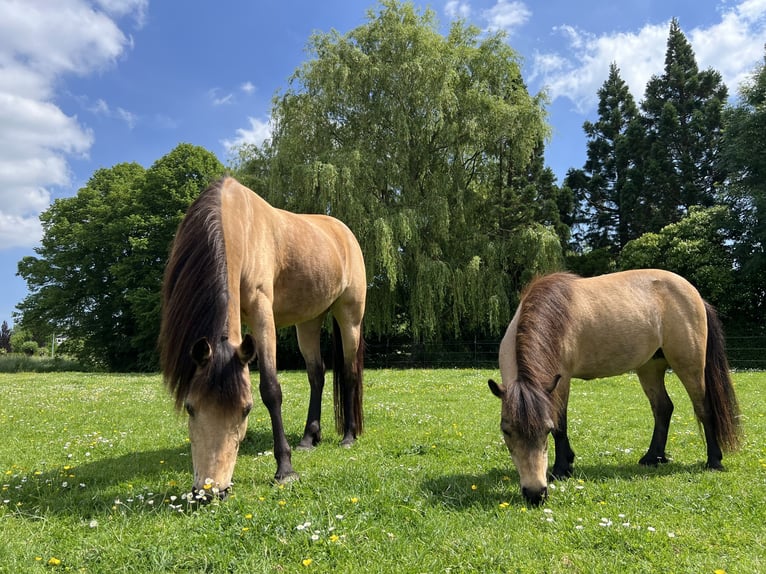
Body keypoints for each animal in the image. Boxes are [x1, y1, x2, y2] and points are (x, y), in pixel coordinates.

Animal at [160, 177, 366, 497]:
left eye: (246, 410)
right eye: (190, 407)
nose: (210, 491)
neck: (237, 223)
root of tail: (344, 232)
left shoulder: (262, 311)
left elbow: (271, 389)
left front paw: (285, 470)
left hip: (349, 317)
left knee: (349, 372)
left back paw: (347, 436)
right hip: (308, 321)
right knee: (316, 374)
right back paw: (309, 437)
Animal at [488, 269, 741, 505]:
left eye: (545, 430)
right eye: (506, 430)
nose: (535, 494)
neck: (554, 317)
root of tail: (694, 294)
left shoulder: (563, 381)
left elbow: (561, 424)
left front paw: (560, 469)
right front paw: (567, 463)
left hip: (689, 366)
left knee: (703, 408)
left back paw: (713, 461)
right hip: (650, 367)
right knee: (663, 408)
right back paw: (653, 458)